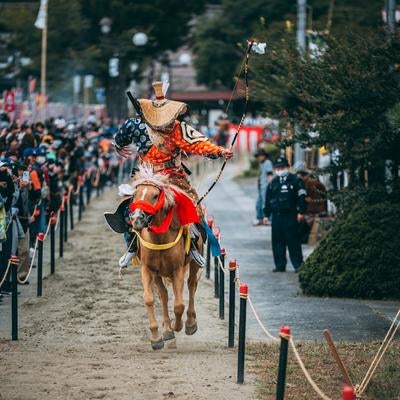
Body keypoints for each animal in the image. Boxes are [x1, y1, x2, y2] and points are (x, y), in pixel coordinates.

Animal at [130, 166, 202, 350]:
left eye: (155, 195)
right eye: (135, 194)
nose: (137, 219)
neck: (160, 238)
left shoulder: (177, 269)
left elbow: (179, 305)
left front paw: (178, 326)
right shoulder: (147, 269)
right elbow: (149, 299)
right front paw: (157, 337)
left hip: (194, 262)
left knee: (192, 285)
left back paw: (190, 323)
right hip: (157, 273)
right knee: (163, 294)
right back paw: (167, 329)